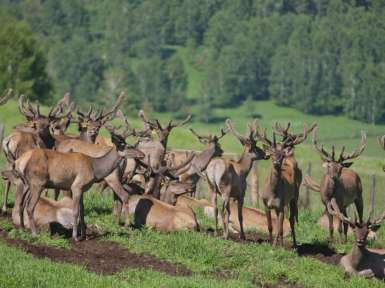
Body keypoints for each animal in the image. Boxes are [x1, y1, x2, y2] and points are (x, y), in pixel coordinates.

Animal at [9, 127, 144, 240]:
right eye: (127, 146)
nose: (142, 154)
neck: (95, 169)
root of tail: (19, 162)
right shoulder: (76, 186)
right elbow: (76, 211)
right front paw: (75, 237)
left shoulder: (82, 188)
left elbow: (82, 211)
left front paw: (84, 235)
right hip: (38, 183)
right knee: (30, 206)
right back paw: (34, 233)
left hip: (26, 184)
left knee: (21, 203)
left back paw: (22, 228)